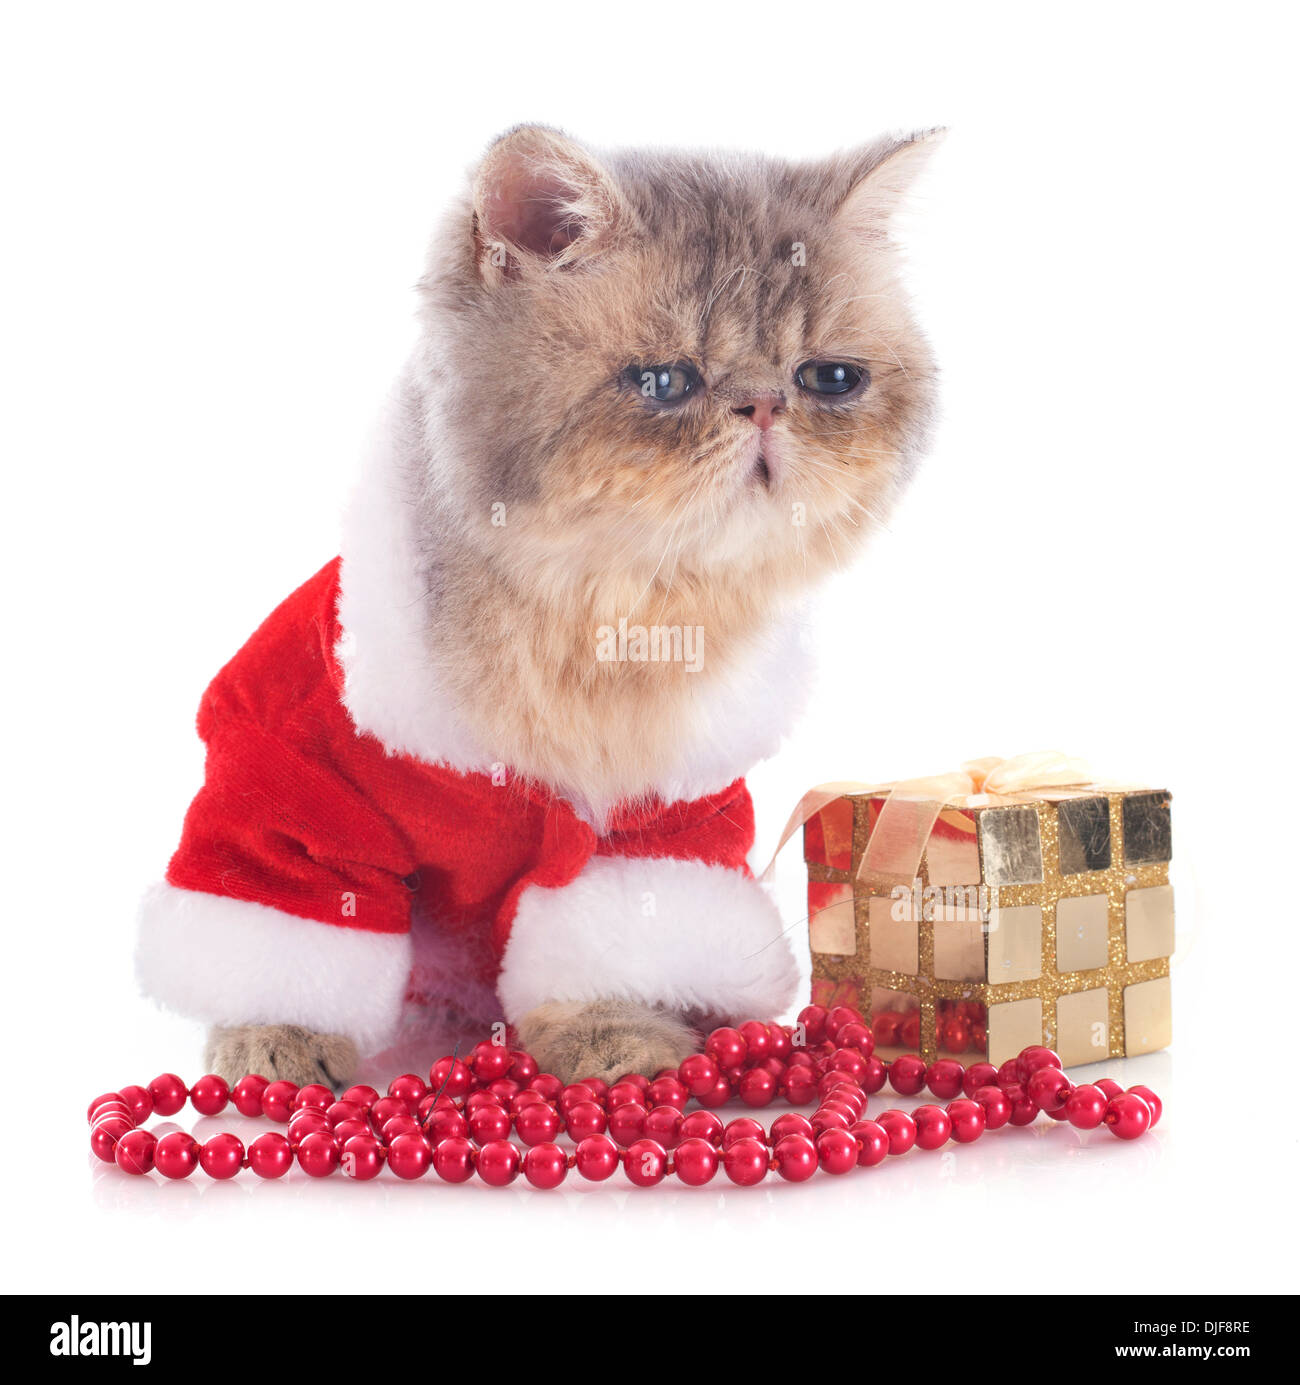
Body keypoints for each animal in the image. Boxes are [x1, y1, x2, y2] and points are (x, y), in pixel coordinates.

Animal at [137, 124, 941, 1085]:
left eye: (829, 378)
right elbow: (296, 931)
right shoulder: (292, 794)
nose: (765, 405)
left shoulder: (661, 820)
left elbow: (606, 946)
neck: (607, 619)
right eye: (663, 383)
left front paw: (613, 1035)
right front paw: (277, 1040)